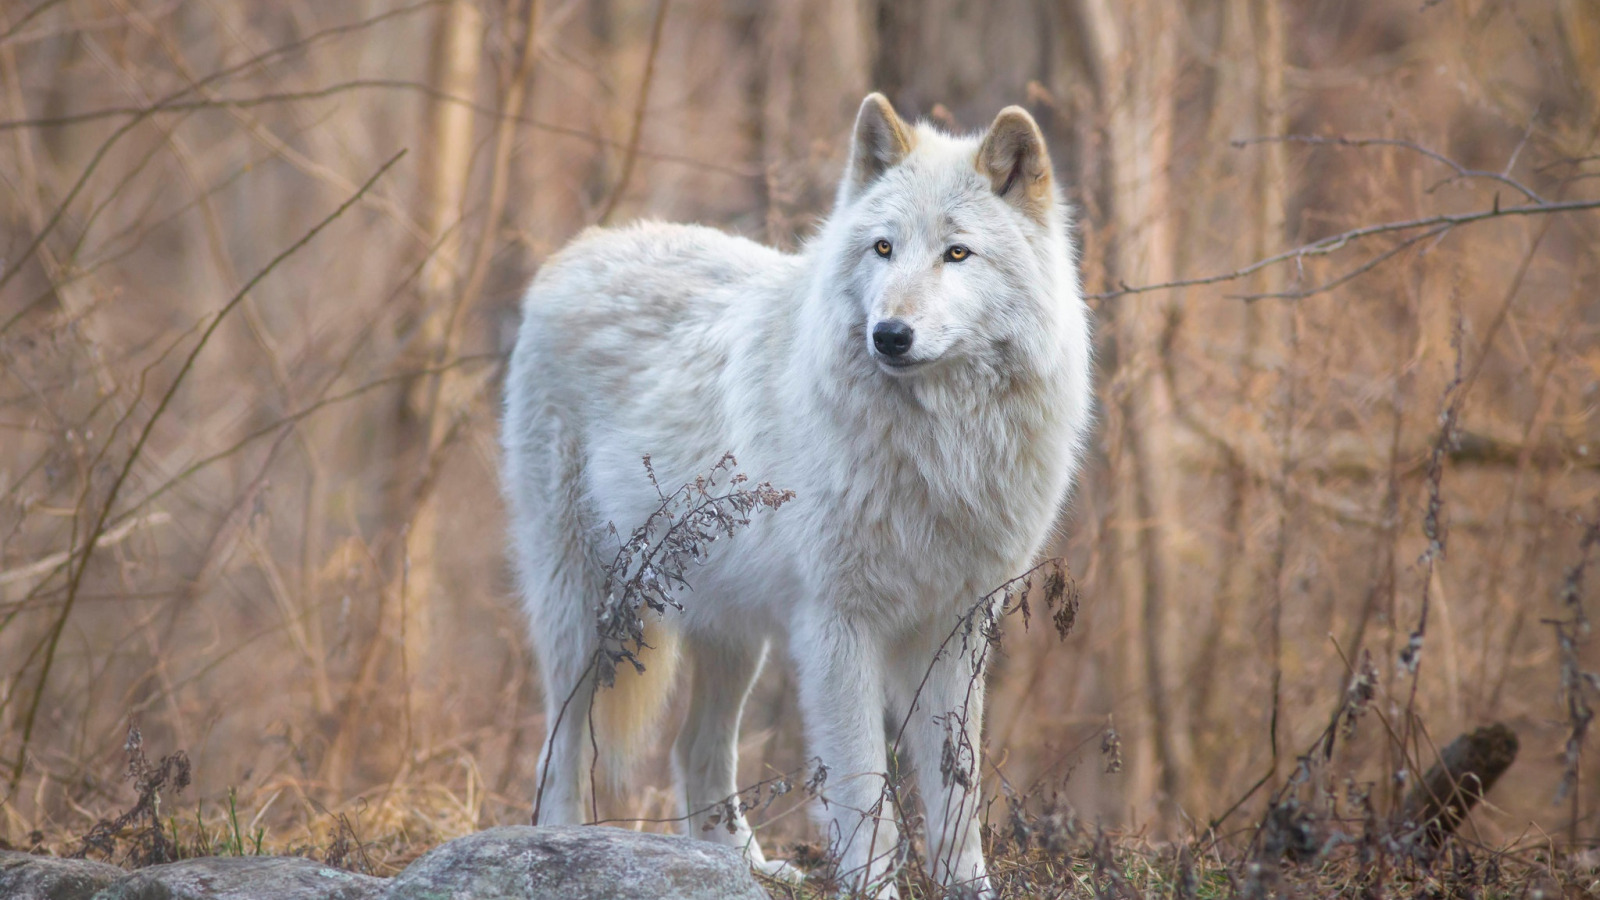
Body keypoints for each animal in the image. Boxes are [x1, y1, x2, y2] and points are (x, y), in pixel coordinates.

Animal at [499, 94, 1094, 890]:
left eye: (957, 254)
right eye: (883, 248)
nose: (890, 335)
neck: (939, 449)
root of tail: (576, 251)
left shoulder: (959, 628)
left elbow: (957, 795)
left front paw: (968, 888)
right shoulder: (836, 626)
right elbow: (864, 792)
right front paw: (874, 890)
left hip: (732, 634)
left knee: (695, 750)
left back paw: (747, 867)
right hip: (586, 614)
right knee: (557, 751)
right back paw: (554, 847)